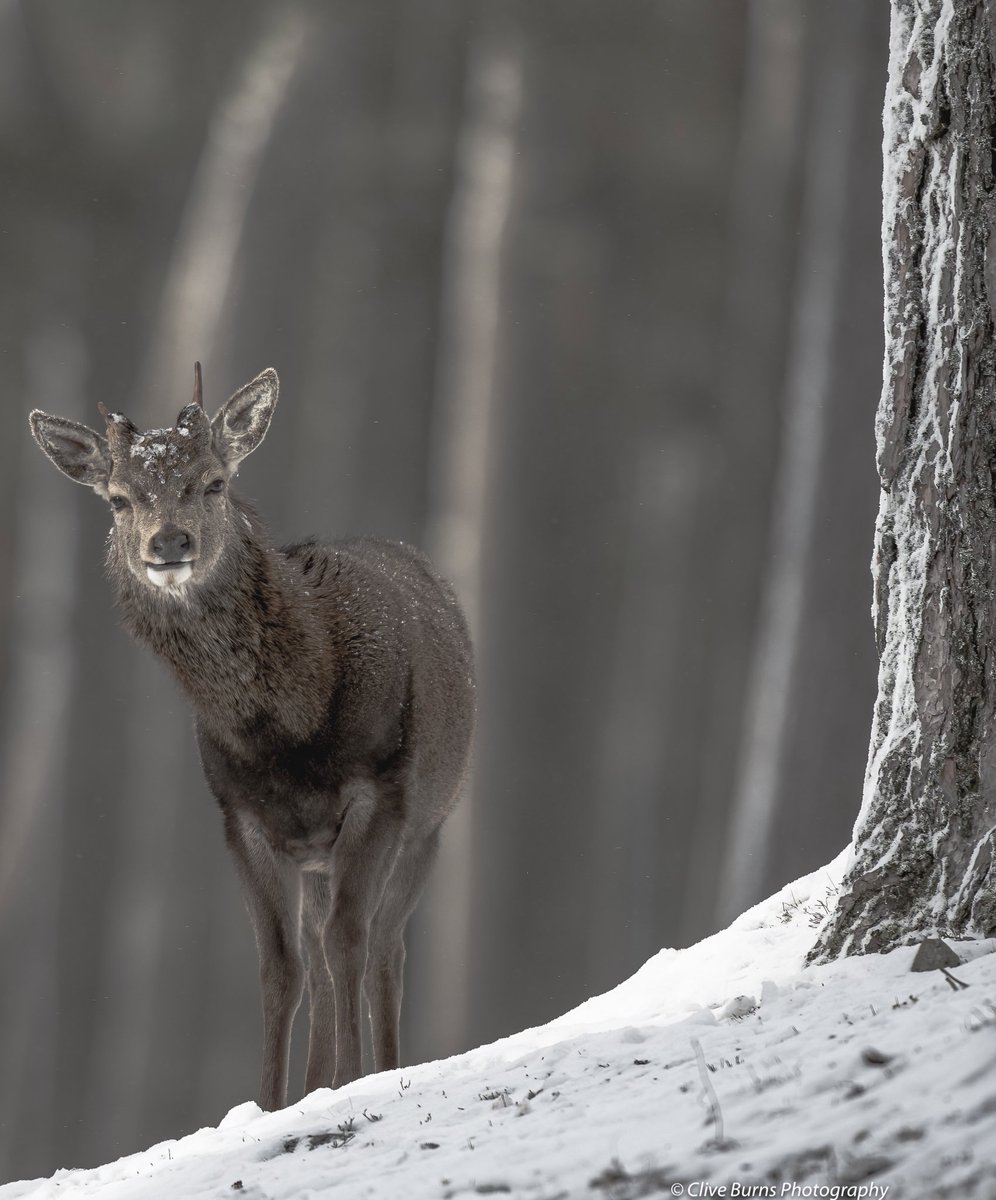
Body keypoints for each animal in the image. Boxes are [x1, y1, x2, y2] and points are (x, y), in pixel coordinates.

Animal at [28, 364, 476, 1111]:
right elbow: (280, 964)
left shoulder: (382, 792)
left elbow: (350, 941)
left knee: (384, 946)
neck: (288, 734)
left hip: (431, 823)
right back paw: (316, 1082)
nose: (168, 543)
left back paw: (380, 1067)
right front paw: (269, 1103)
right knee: (319, 952)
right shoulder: (240, 816)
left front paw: (354, 1080)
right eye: (119, 500)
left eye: (213, 483)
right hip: (323, 853)